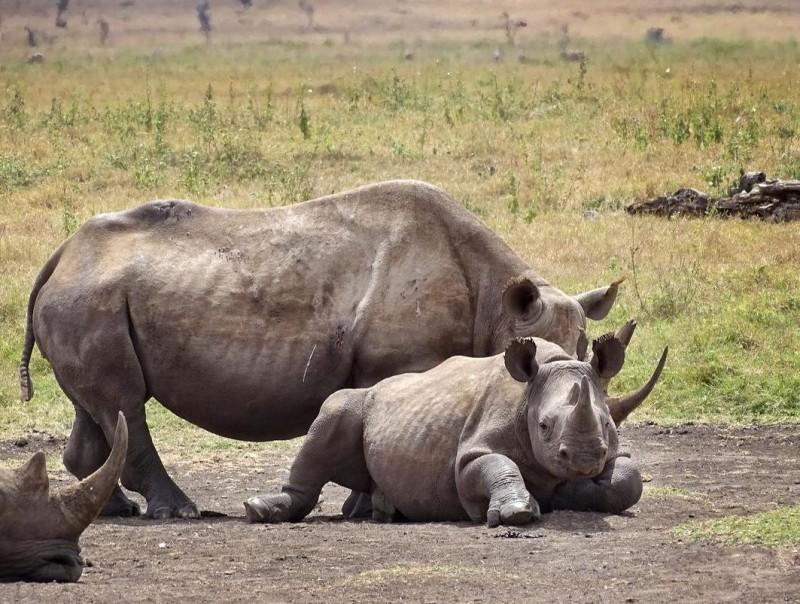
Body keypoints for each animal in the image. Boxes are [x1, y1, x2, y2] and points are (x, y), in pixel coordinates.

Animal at [19, 180, 621, 519]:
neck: (496, 301)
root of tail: (60, 256)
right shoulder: (401, 360)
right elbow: (385, 410)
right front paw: (366, 507)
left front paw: (363, 506)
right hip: (89, 297)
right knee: (124, 402)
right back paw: (178, 513)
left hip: (89, 299)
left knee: (97, 404)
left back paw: (114, 509)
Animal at [244, 326, 667, 525]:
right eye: (544, 426)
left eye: (608, 423)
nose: (583, 459)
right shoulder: (469, 455)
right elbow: (494, 465)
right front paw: (517, 511)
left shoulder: (612, 452)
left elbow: (628, 478)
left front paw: (570, 493)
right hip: (361, 400)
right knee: (334, 410)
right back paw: (259, 510)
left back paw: (383, 510)